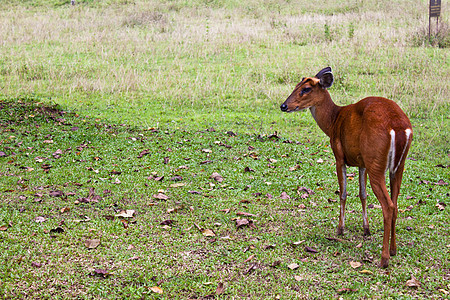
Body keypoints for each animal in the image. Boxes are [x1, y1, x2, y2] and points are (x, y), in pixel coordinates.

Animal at [282, 67, 412, 268]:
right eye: (297, 85)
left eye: (306, 89)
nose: (284, 105)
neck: (333, 120)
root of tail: (398, 127)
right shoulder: (361, 162)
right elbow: (362, 194)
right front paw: (366, 229)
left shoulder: (339, 156)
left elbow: (343, 193)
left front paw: (340, 229)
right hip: (397, 166)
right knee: (396, 204)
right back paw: (393, 250)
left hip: (376, 161)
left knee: (388, 206)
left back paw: (384, 259)